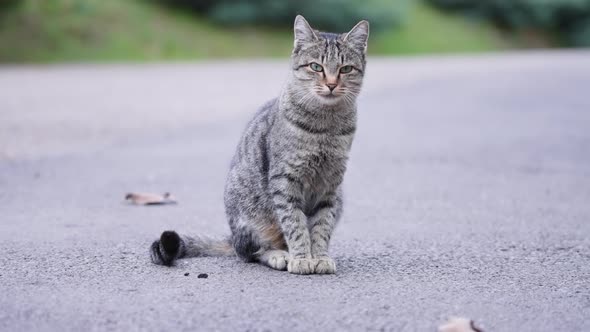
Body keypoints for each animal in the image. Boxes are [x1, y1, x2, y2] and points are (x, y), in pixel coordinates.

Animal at [149, 16, 370, 274]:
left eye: (345, 69)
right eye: (316, 67)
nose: (332, 84)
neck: (326, 127)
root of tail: (232, 237)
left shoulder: (330, 186)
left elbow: (321, 227)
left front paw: (320, 257)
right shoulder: (285, 180)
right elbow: (295, 225)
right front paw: (302, 258)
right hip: (251, 219)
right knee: (250, 252)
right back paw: (280, 255)